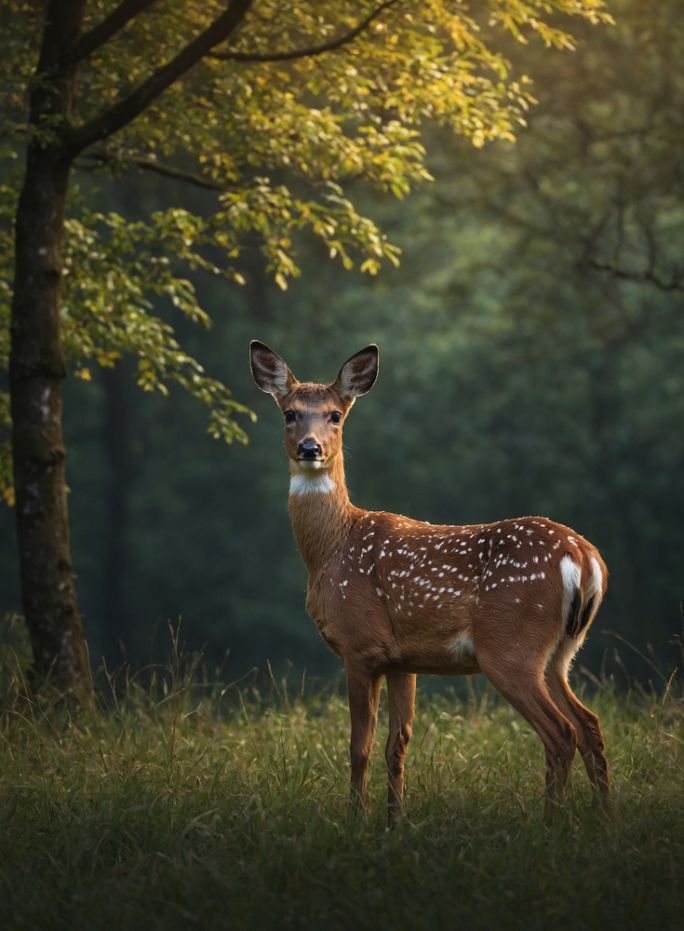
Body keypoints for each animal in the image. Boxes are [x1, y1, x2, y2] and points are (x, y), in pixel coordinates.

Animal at [250, 342, 608, 824]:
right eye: (289, 413)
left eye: (335, 415)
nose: (310, 448)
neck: (332, 549)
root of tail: (584, 558)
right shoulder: (403, 659)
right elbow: (397, 746)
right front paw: (394, 822)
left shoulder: (360, 645)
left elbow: (359, 747)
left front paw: (356, 820)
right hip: (560, 652)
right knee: (589, 725)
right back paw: (604, 818)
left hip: (511, 645)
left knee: (561, 732)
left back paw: (550, 824)